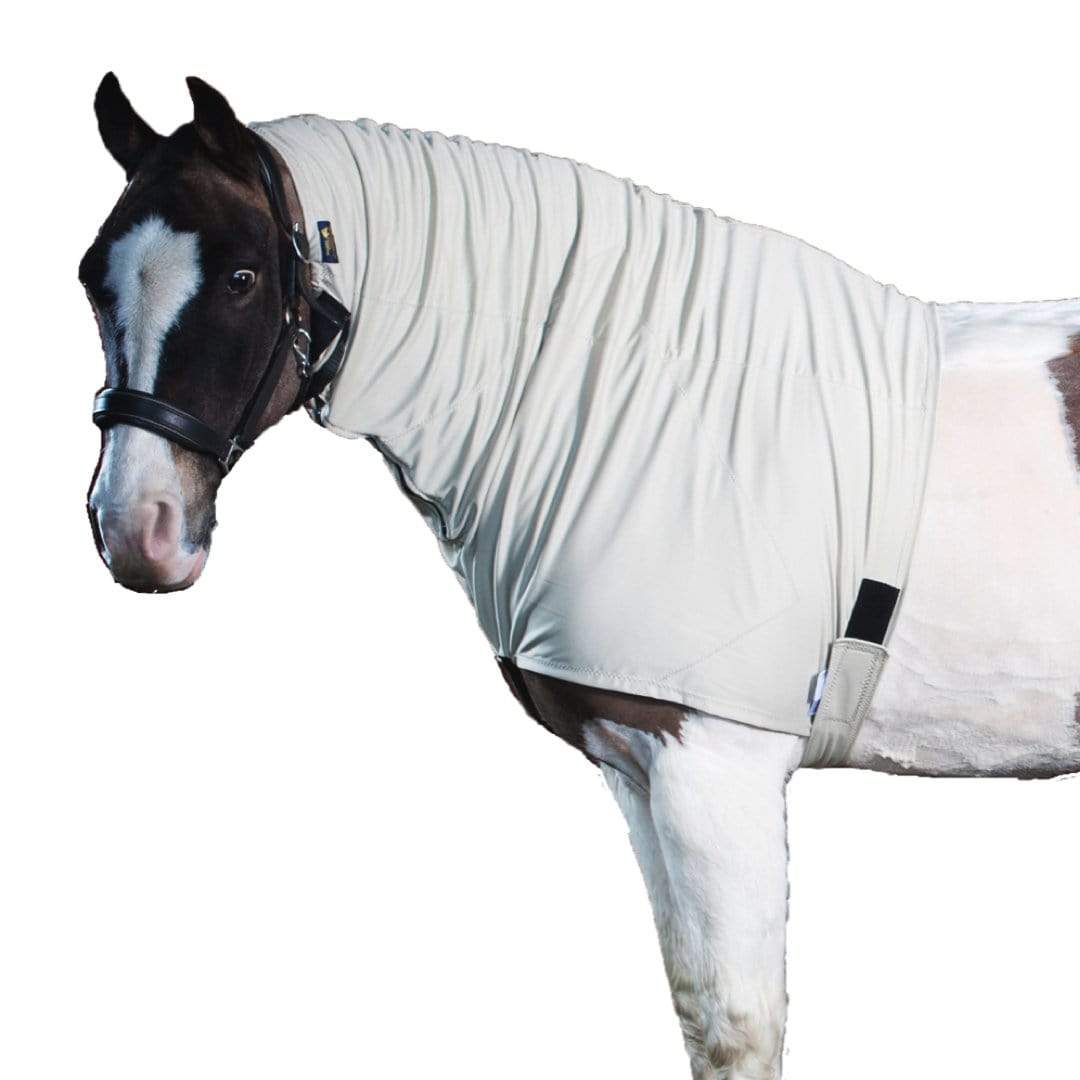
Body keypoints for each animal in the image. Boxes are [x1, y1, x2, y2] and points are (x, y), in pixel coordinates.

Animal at [81, 73, 1080, 1080]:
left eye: (242, 277)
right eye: (92, 278)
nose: (137, 528)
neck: (661, 415)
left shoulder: (713, 766)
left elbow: (741, 1025)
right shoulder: (636, 770)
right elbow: (694, 1007)